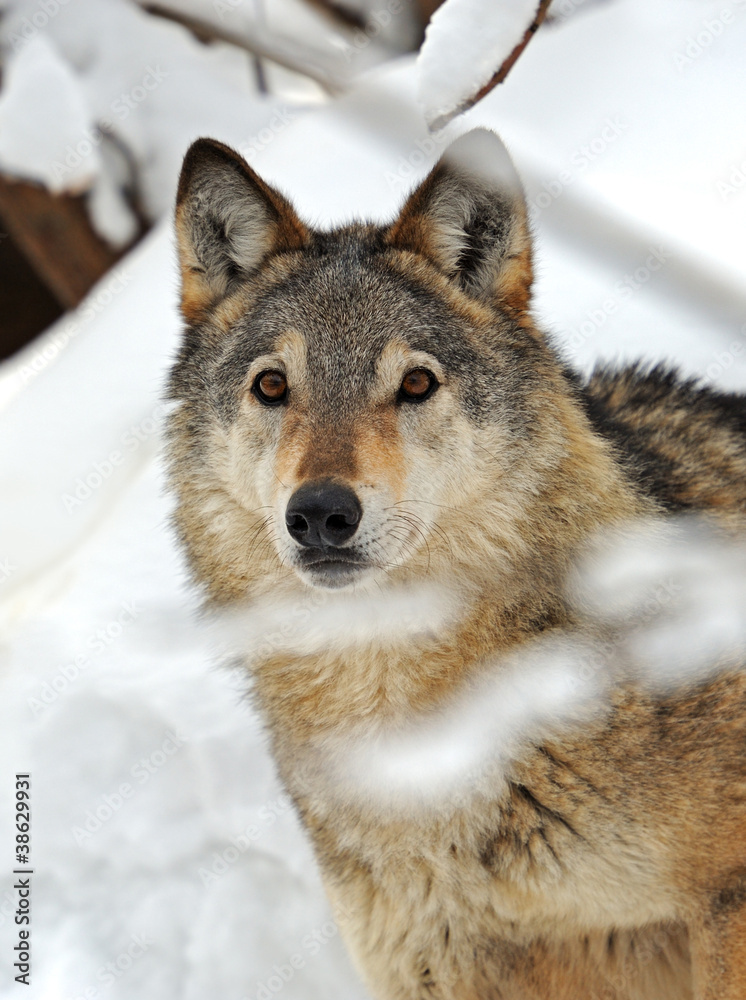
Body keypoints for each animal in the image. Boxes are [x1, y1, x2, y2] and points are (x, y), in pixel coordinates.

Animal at [166, 128, 746, 1000]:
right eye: (271, 386)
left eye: (415, 383)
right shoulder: (440, 973)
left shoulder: (725, 904)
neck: (422, 748)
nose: (320, 514)